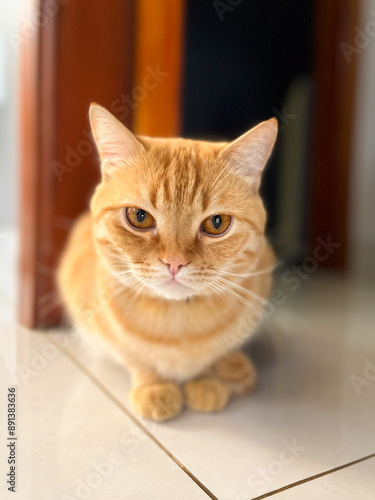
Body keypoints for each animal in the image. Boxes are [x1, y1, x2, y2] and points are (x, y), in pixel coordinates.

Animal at [58, 103, 276, 420]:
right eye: (139, 217)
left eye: (217, 223)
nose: (174, 263)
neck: (177, 327)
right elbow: (138, 360)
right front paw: (154, 387)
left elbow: (212, 357)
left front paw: (206, 381)